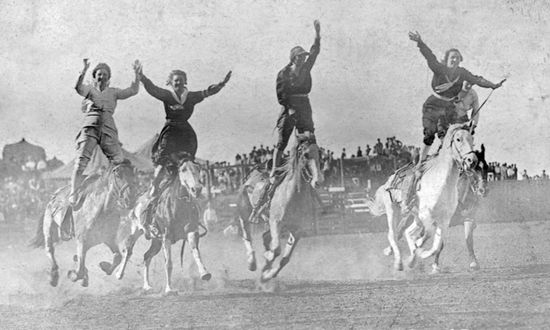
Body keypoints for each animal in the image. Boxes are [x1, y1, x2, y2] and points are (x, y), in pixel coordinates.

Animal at [117, 156, 210, 296]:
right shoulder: (167, 236)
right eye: (183, 169)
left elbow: (196, 252)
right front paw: (169, 289)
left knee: (147, 256)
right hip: (136, 229)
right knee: (128, 249)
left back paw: (147, 286)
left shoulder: (192, 231)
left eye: (198, 168)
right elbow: (168, 263)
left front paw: (205, 273)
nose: (197, 189)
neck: (178, 205)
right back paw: (119, 274)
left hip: (156, 241)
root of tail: (138, 200)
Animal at [236, 133, 324, 282]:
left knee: (264, 237)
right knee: (246, 234)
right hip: (245, 211)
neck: (293, 194)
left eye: (319, 154)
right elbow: (276, 250)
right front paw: (267, 262)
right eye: (306, 154)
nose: (318, 181)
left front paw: (267, 274)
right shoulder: (276, 222)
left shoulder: (297, 230)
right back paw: (251, 262)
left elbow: (285, 258)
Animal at [368, 124, 480, 274]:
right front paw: (420, 249)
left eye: (472, 139)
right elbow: (429, 234)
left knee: (407, 232)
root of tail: (389, 180)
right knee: (393, 235)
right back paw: (399, 262)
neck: (442, 183)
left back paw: (411, 258)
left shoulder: (445, 219)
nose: (472, 161)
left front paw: (419, 256)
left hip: (415, 216)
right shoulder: (426, 214)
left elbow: (437, 244)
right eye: (458, 139)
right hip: (393, 209)